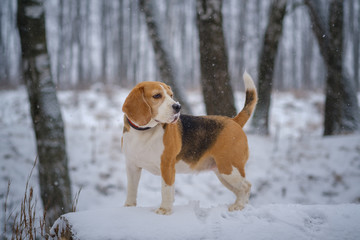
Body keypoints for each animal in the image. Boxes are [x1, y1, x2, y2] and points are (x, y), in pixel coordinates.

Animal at [122, 72, 258, 215]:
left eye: (171, 95)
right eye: (157, 95)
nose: (178, 106)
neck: (144, 132)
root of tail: (234, 121)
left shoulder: (167, 166)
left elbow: (166, 190)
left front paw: (164, 210)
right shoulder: (132, 166)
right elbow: (131, 189)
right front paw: (129, 207)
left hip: (229, 168)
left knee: (246, 186)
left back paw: (238, 206)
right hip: (222, 173)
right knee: (240, 189)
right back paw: (241, 205)